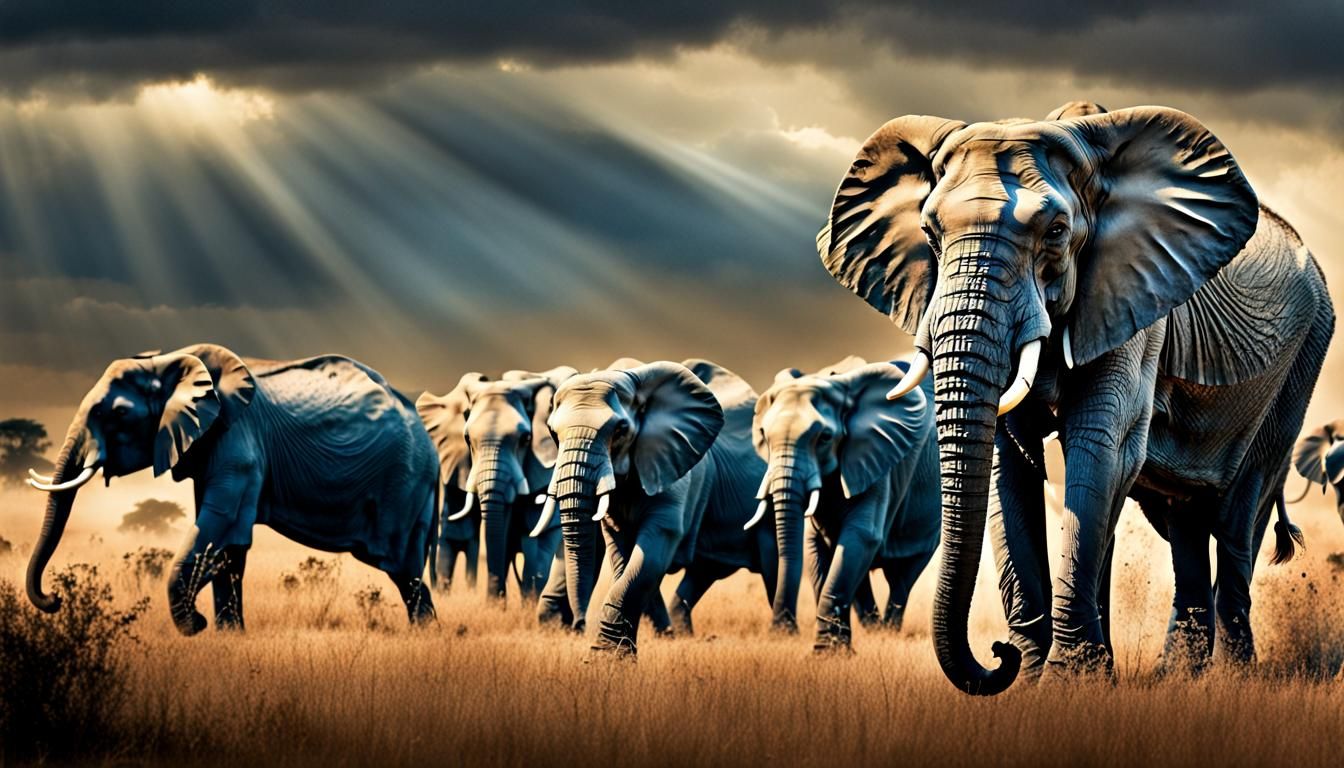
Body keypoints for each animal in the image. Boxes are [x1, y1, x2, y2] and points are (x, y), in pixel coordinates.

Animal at [25, 344, 440, 633]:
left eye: (120, 413)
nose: (54, 598)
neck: (171, 360)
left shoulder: (239, 442)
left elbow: (220, 529)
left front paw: (198, 624)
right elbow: (228, 547)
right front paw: (228, 635)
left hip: (404, 481)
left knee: (402, 567)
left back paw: (423, 635)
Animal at [416, 366, 575, 603]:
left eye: (526, 439)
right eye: (467, 438)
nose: (494, 600)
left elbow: (535, 533)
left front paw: (527, 605)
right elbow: (457, 529)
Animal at [529, 359, 728, 656]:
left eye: (621, 430)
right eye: (553, 432)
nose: (578, 624)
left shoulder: (672, 469)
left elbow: (652, 551)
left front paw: (606, 657)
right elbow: (623, 554)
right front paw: (616, 655)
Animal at [748, 355, 940, 651]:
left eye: (825, 438)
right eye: (764, 436)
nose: (782, 631)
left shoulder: (877, 459)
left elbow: (861, 535)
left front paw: (827, 653)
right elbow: (819, 544)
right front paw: (833, 650)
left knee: (903, 575)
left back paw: (887, 632)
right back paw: (874, 629)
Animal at [817, 101, 1334, 693]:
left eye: (1058, 231)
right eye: (929, 230)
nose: (995, 654)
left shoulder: (1133, 301)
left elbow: (1100, 446)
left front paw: (1071, 682)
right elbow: (1009, 463)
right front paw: (1031, 676)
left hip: (1301, 362)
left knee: (1233, 513)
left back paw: (1229, 680)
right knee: (1183, 519)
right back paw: (1176, 677)